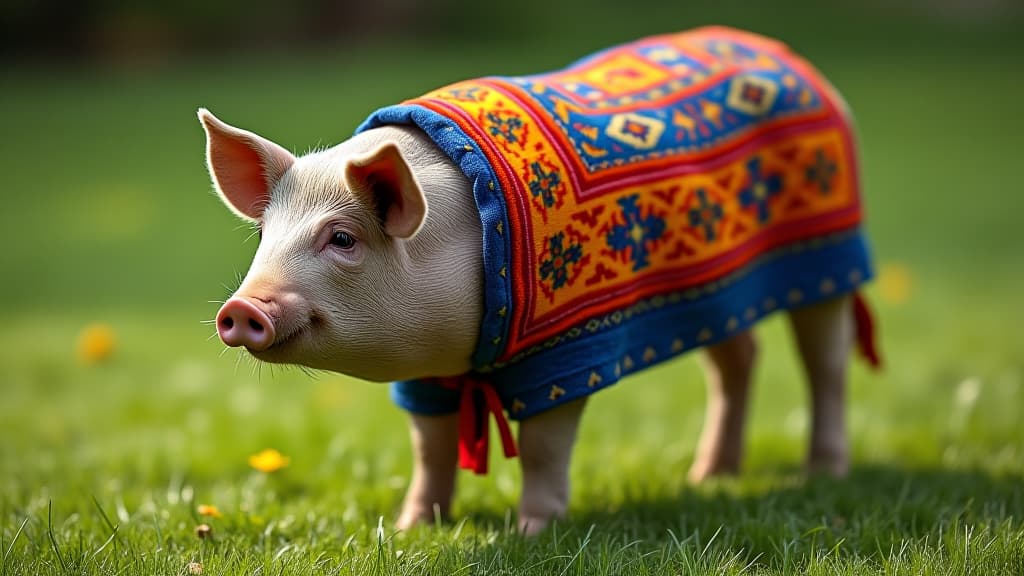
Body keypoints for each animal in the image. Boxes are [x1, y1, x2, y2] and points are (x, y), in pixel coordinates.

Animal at [201, 24, 880, 532]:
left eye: (342, 239)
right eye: (264, 236)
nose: (242, 308)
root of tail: (795, 61)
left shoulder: (563, 353)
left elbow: (544, 445)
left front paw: (533, 533)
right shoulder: (423, 375)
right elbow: (430, 445)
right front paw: (412, 527)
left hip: (830, 263)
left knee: (826, 360)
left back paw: (822, 473)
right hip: (718, 291)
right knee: (738, 357)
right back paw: (708, 477)